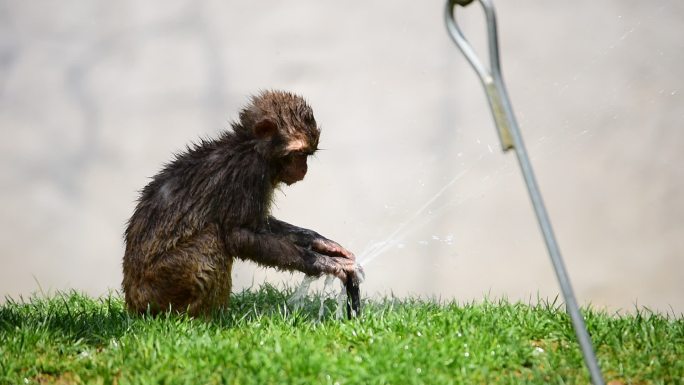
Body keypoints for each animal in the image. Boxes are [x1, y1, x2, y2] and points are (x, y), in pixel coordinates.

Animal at [122, 90, 358, 316]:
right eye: (299, 154)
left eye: (308, 155)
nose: (304, 168)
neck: (249, 147)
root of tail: (133, 302)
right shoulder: (250, 173)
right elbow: (238, 235)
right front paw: (321, 262)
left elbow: (261, 225)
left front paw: (322, 243)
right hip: (160, 288)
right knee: (211, 238)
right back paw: (205, 319)